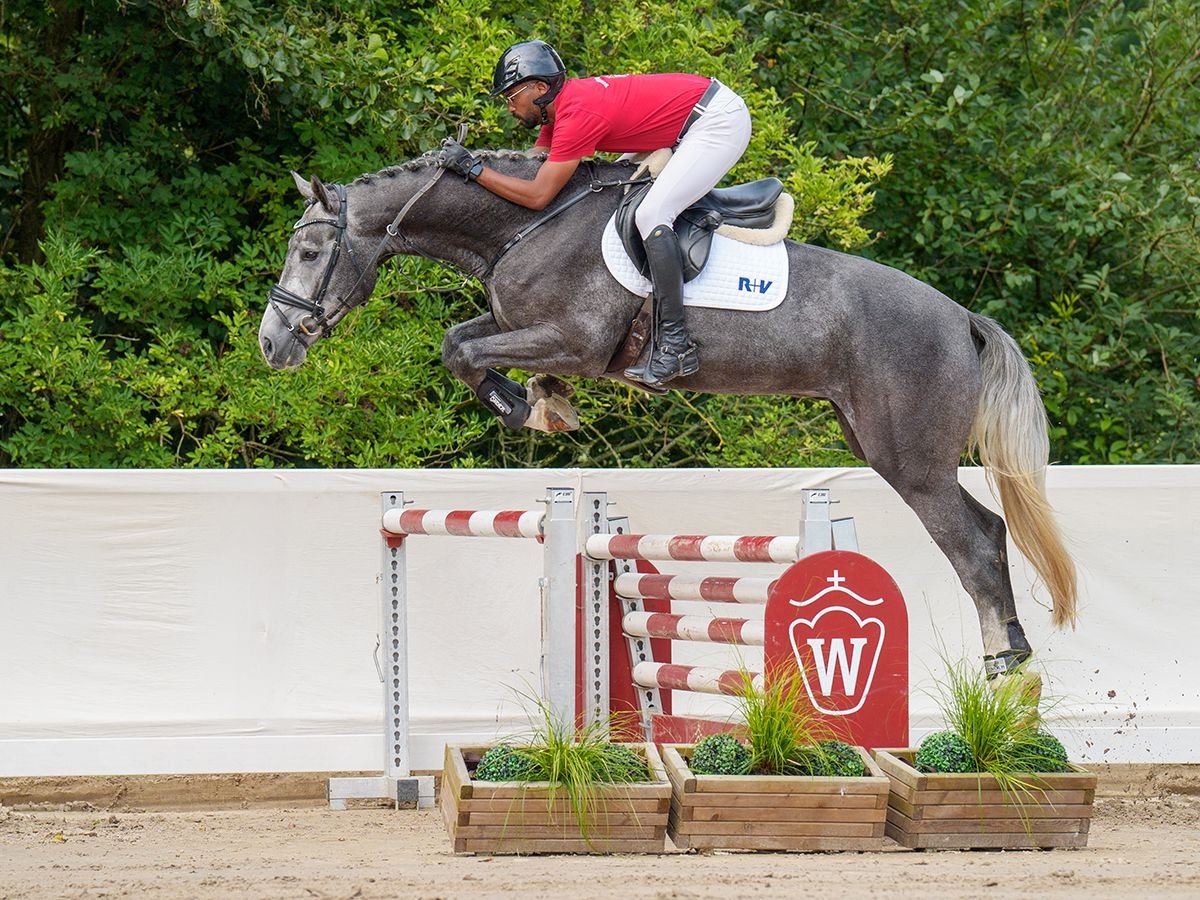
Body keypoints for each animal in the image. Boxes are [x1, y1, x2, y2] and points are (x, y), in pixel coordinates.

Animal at [255, 150, 1080, 681]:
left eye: (311, 252)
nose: (271, 344)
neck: (525, 225)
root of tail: (962, 316)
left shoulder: (573, 338)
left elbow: (458, 346)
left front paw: (528, 408)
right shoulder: (538, 333)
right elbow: (464, 340)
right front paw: (545, 402)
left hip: (910, 461)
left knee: (972, 545)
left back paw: (1002, 661)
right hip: (883, 443)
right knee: (990, 532)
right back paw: (1009, 653)